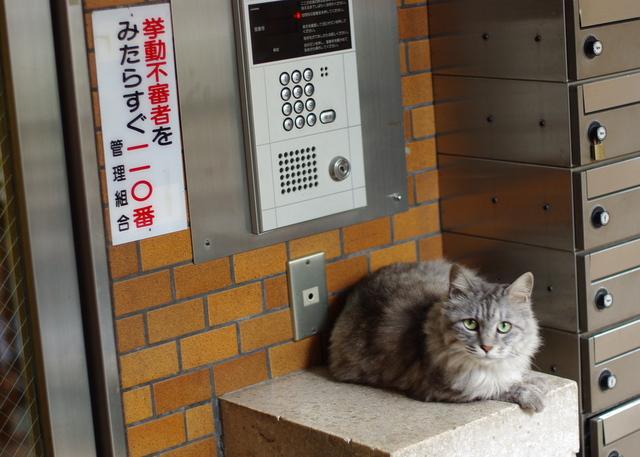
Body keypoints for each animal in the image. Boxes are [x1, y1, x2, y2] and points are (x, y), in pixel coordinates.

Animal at [329, 259, 545, 412]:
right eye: (470, 324)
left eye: (504, 327)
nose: (487, 347)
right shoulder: (442, 388)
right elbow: (493, 387)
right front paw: (530, 394)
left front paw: (533, 379)